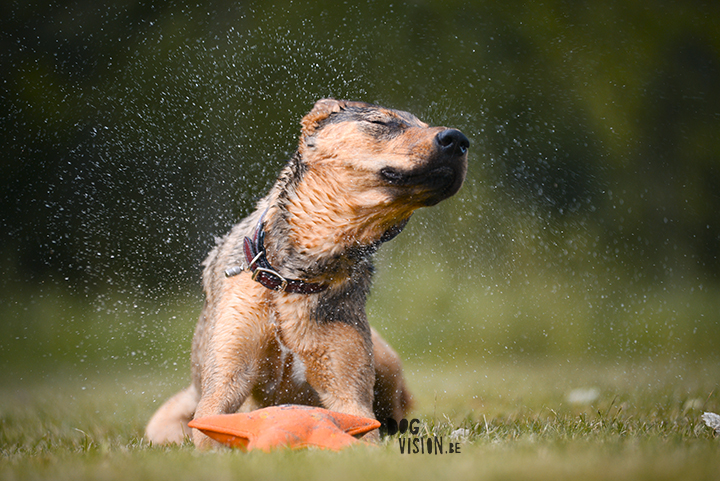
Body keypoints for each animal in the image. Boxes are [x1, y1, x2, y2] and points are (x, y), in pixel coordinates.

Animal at [144, 99, 470, 448]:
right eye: (380, 122)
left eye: (424, 124)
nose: (459, 140)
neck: (295, 275)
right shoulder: (226, 377)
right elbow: (211, 426)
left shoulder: (346, 387)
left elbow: (364, 429)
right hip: (164, 420)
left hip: (384, 358)